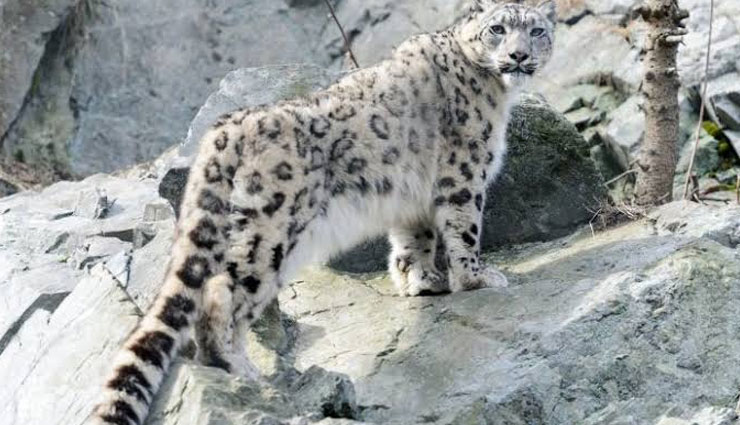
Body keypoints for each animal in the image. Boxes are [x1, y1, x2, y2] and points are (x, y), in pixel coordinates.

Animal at [90, 1, 556, 423]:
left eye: (536, 31)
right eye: (497, 29)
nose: (519, 56)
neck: (495, 92)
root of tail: (226, 128)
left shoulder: (411, 194)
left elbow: (414, 238)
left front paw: (422, 282)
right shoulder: (464, 172)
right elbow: (464, 227)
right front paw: (476, 277)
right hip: (269, 233)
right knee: (223, 291)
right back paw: (243, 371)